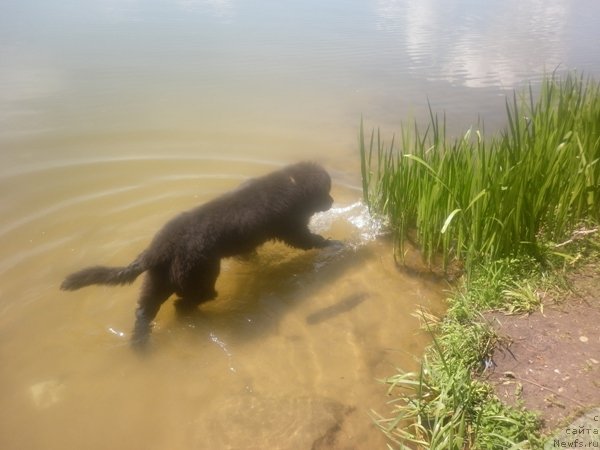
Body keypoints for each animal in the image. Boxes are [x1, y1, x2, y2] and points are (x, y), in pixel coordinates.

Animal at [62, 162, 332, 348]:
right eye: (326, 190)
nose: (332, 201)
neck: (292, 183)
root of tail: (155, 250)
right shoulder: (290, 226)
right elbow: (308, 240)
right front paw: (332, 243)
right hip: (197, 276)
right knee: (186, 303)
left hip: (159, 280)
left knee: (145, 311)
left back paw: (141, 345)